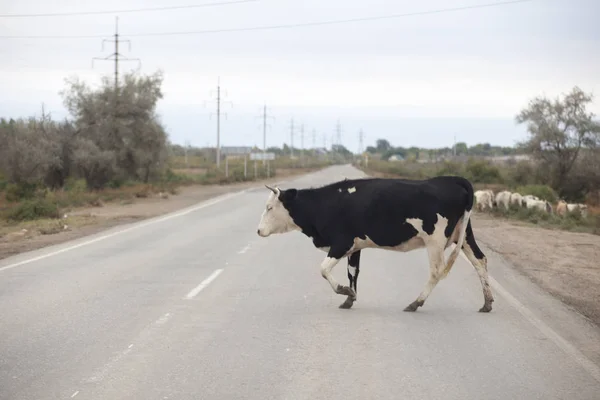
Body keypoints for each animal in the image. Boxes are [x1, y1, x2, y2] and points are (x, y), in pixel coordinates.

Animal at [255, 177, 494, 314]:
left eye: (269, 207)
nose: (258, 231)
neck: (326, 204)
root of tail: (452, 179)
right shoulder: (355, 247)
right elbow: (353, 272)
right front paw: (350, 298)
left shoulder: (341, 243)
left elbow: (323, 269)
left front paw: (344, 292)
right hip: (462, 235)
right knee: (480, 260)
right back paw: (487, 303)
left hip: (435, 240)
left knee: (436, 271)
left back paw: (416, 303)